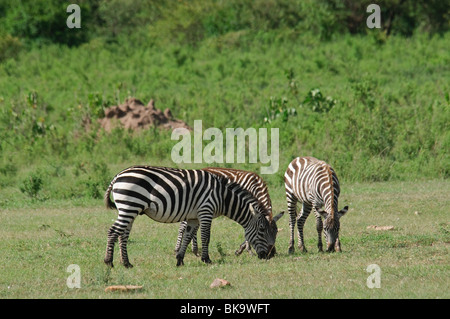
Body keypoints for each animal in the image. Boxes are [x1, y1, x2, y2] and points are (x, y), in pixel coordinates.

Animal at [103, 165, 284, 268]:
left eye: (275, 232)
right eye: (262, 230)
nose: (268, 256)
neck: (222, 196)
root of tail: (118, 176)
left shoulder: (193, 217)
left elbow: (189, 236)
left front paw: (180, 260)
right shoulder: (206, 211)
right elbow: (206, 236)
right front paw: (206, 259)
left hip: (130, 209)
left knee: (123, 234)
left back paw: (127, 263)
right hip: (129, 206)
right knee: (113, 231)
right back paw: (109, 262)